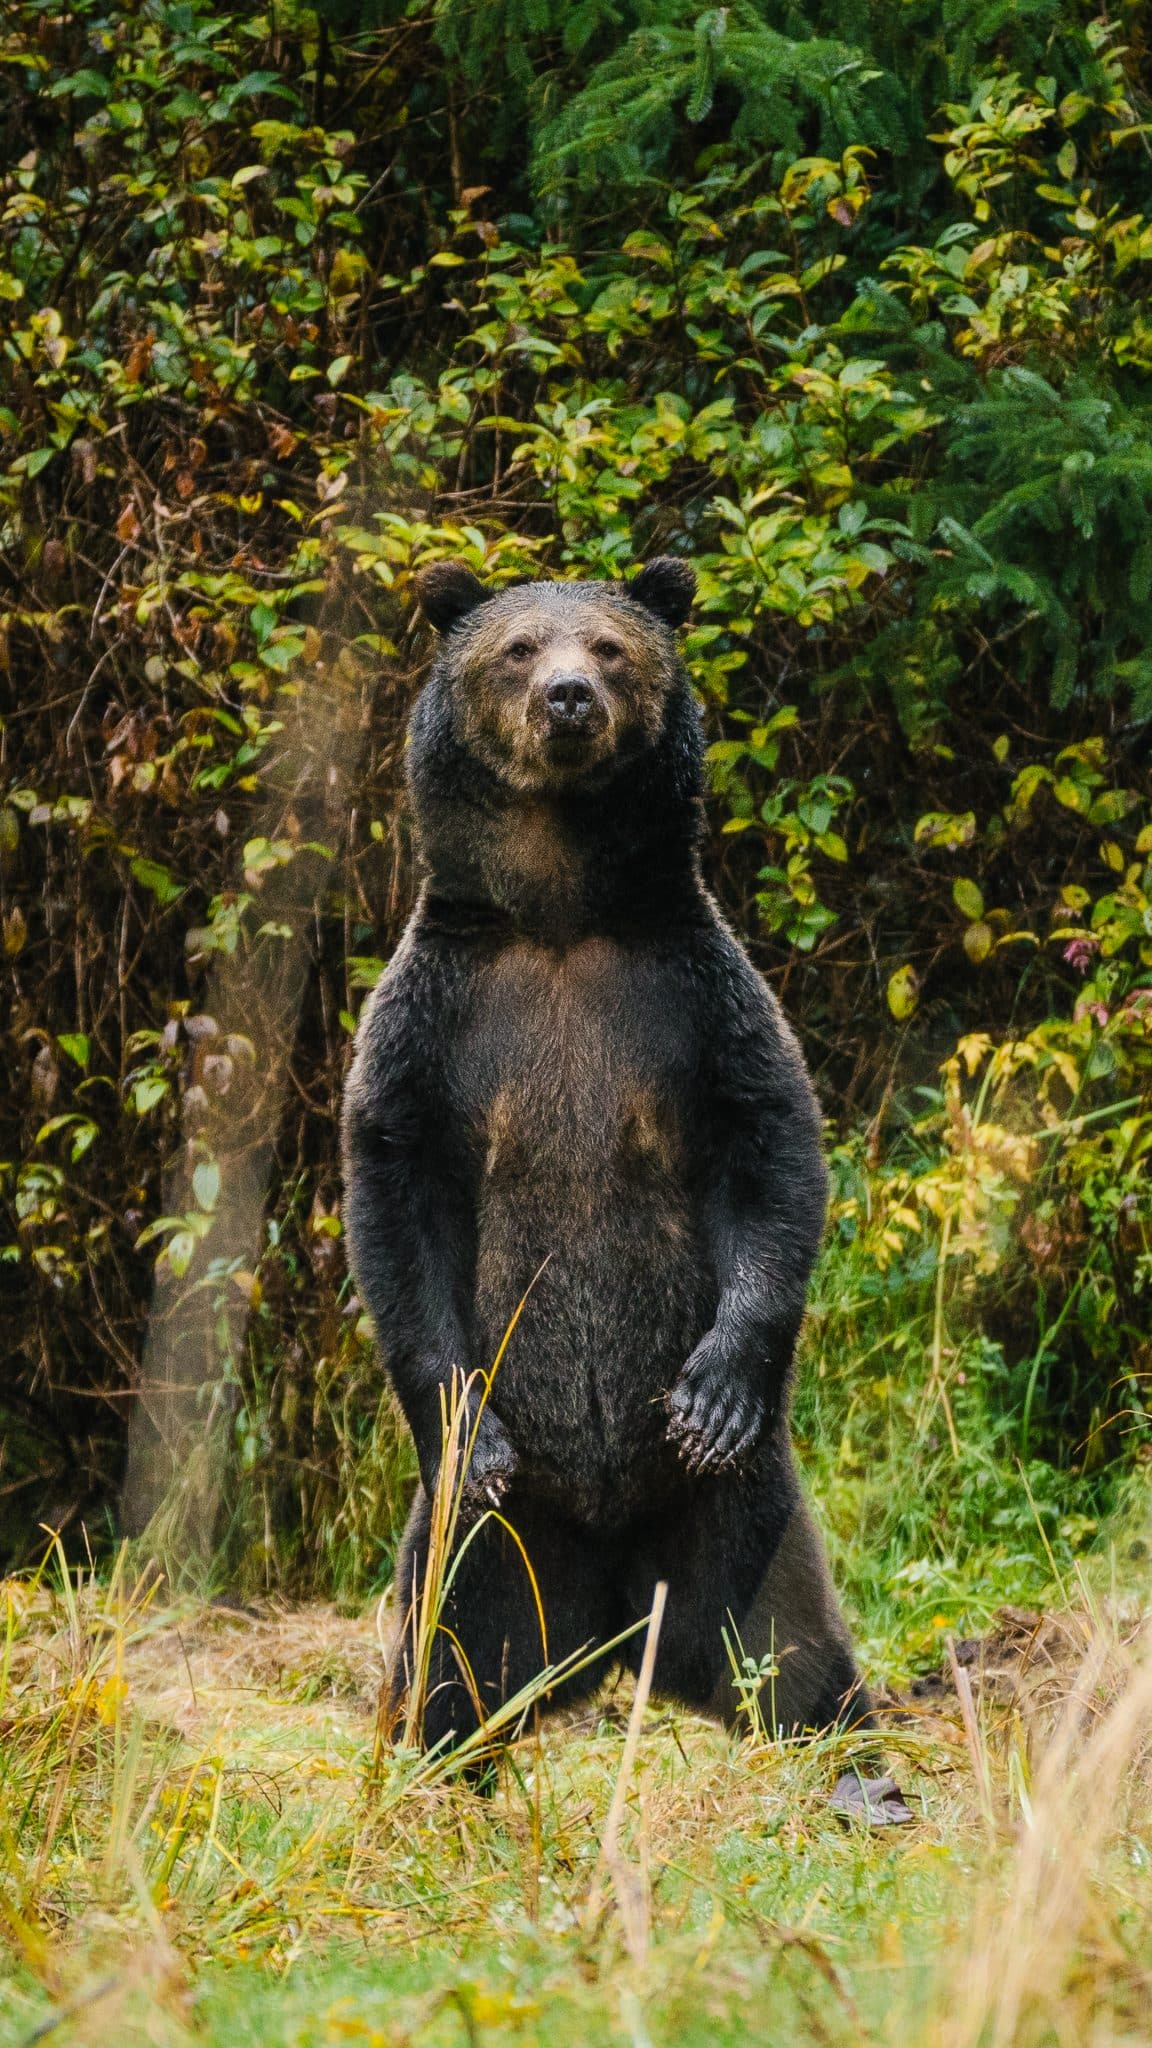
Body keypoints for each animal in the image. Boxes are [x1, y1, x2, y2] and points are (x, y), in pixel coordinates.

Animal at [341, 556, 906, 1820]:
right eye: (516, 647)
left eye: (609, 645)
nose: (568, 698)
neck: (561, 915)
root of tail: (604, 1619)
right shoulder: (434, 1023)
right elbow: (395, 1201)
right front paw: (466, 1418)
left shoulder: (694, 999)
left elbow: (773, 1154)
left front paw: (716, 1390)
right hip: (493, 1547)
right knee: (450, 1652)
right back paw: (436, 1776)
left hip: (742, 1518)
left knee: (791, 1649)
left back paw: (865, 1775)